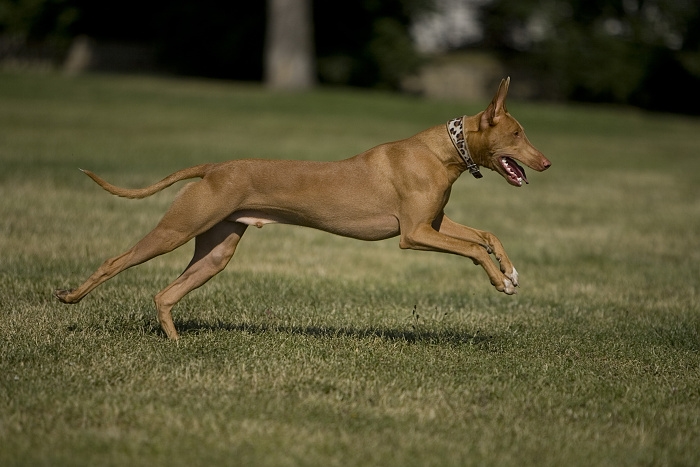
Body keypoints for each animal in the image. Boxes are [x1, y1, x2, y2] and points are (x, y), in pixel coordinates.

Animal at [54, 77, 548, 340]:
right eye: (518, 134)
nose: (546, 163)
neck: (442, 151)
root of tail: (215, 167)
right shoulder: (414, 235)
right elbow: (475, 249)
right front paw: (499, 280)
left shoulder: (435, 223)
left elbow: (487, 236)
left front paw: (510, 272)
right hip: (176, 229)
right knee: (116, 261)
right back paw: (71, 297)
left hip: (216, 251)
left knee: (165, 294)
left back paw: (174, 342)